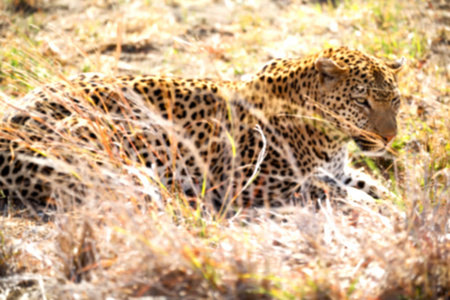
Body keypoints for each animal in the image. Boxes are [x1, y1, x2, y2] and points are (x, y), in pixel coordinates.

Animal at [0, 47, 404, 212]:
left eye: (396, 101)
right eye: (362, 101)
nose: (389, 138)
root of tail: (9, 123)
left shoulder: (338, 170)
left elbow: (367, 183)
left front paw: (397, 201)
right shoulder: (253, 181)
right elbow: (330, 191)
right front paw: (374, 207)